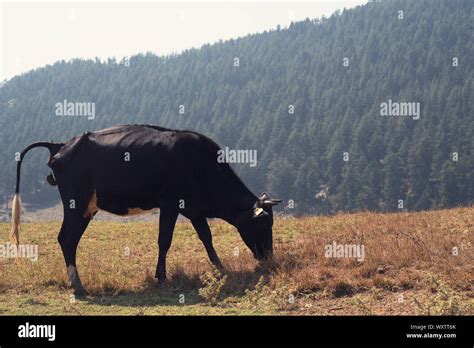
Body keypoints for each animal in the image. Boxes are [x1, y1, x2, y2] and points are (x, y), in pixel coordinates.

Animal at [11, 125, 282, 296]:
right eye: (262, 224)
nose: (268, 257)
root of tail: (62, 144)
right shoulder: (170, 203)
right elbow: (165, 240)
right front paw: (161, 277)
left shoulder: (194, 209)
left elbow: (206, 237)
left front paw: (220, 268)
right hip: (76, 204)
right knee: (67, 238)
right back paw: (79, 286)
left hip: (86, 208)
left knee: (69, 239)